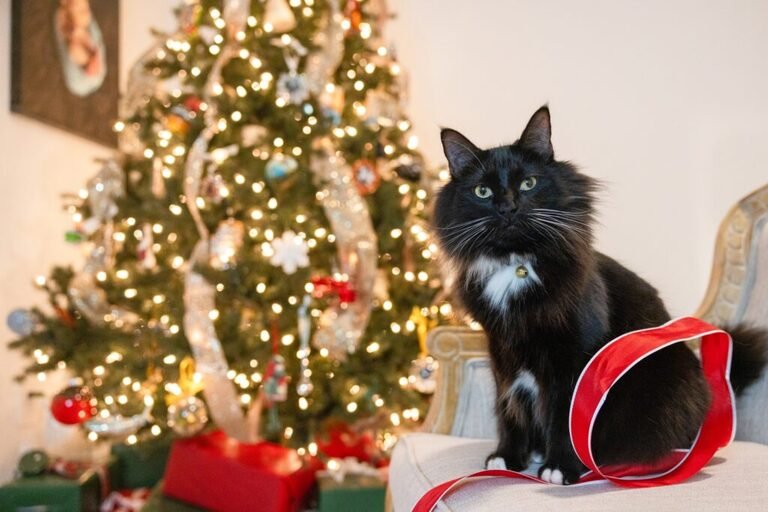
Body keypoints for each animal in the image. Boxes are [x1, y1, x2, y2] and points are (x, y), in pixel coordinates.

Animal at [436, 107, 764, 484]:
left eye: (528, 183)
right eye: (483, 191)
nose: (507, 207)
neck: (516, 264)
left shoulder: (574, 354)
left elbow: (564, 414)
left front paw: (561, 466)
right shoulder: (502, 351)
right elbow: (509, 409)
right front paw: (508, 457)